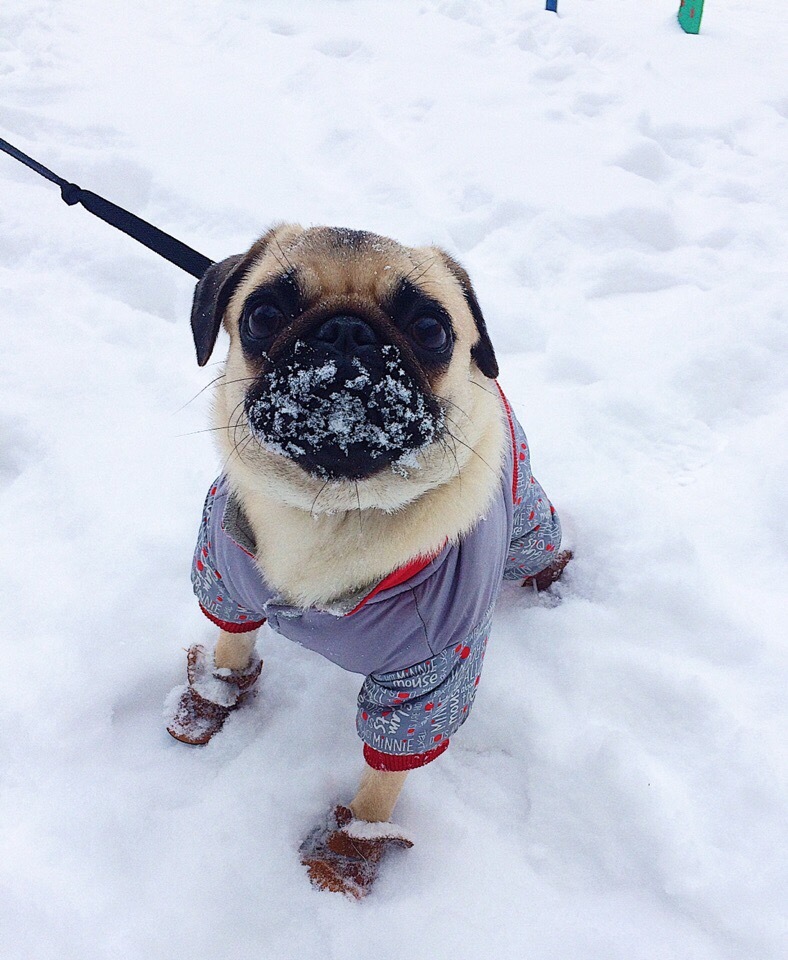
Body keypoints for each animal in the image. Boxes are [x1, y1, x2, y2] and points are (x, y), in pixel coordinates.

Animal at [168, 221, 572, 896]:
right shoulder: (226, 582)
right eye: (262, 315)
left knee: (540, 542)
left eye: (431, 328)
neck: (331, 512)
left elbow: (384, 778)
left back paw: (552, 579)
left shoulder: (429, 683)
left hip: (526, 522)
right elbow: (231, 649)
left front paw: (348, 852)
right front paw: (210, 703)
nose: (346, 331)